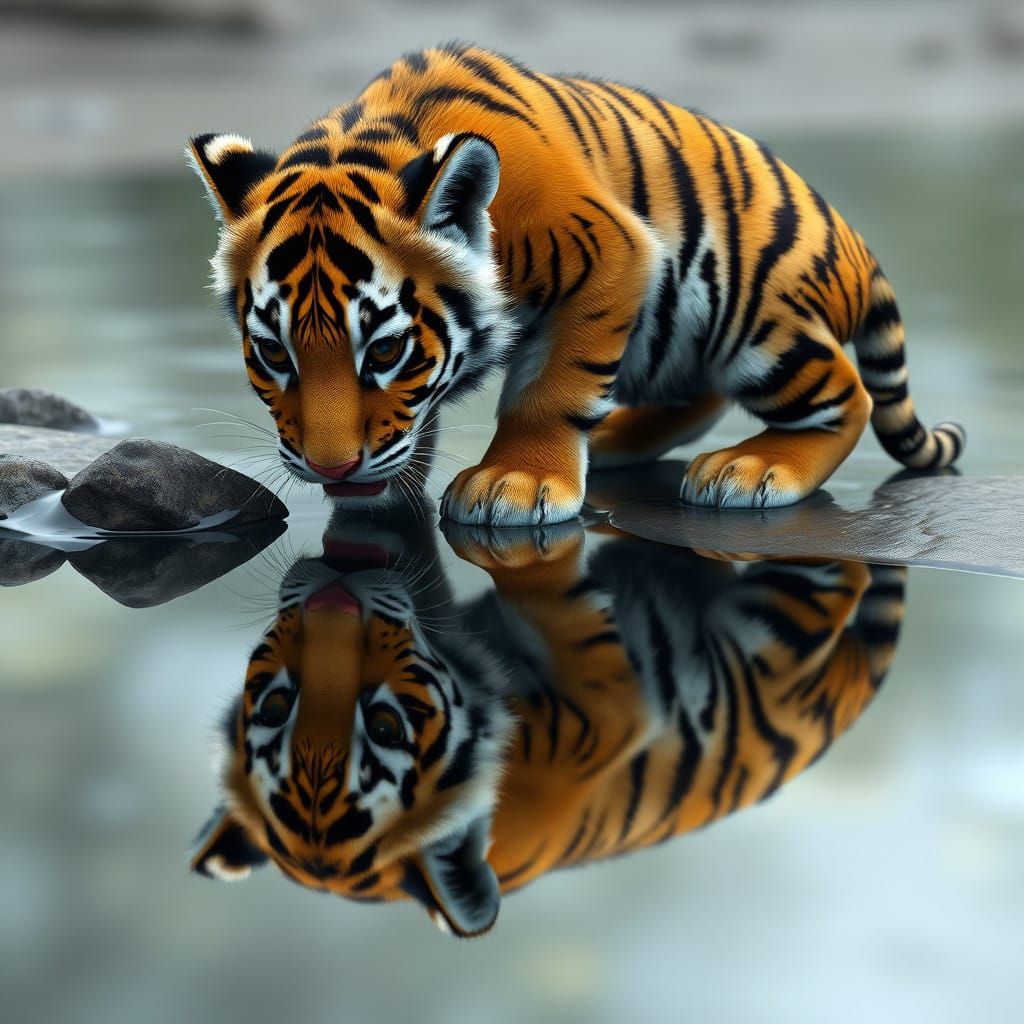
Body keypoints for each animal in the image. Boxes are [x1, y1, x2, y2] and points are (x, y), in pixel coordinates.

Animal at [186, 42, 964, 525]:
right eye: (275, 354)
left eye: (383, 352)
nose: (335, 470)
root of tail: (855, 244)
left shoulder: (615, 251)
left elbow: (551, 388)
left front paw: (516, 482)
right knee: (702, 396)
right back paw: (616, 440)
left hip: (759, 321)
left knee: (848, 395)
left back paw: (750, 470)